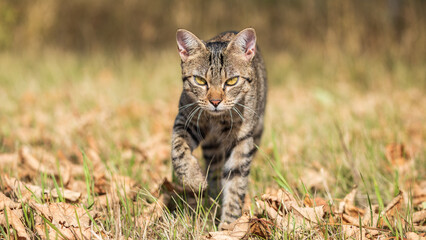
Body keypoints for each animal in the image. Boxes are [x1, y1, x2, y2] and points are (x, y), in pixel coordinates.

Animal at [172, 28, 266, 227]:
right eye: (200, 80)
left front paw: (228, 226)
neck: (216, 120)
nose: (215, 101)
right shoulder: (185, 121)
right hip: (211, 148)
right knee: (214, 171)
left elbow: (236, 183)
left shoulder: (242, 140)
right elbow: (178, 150)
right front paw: (194, 179)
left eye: (231, 81)